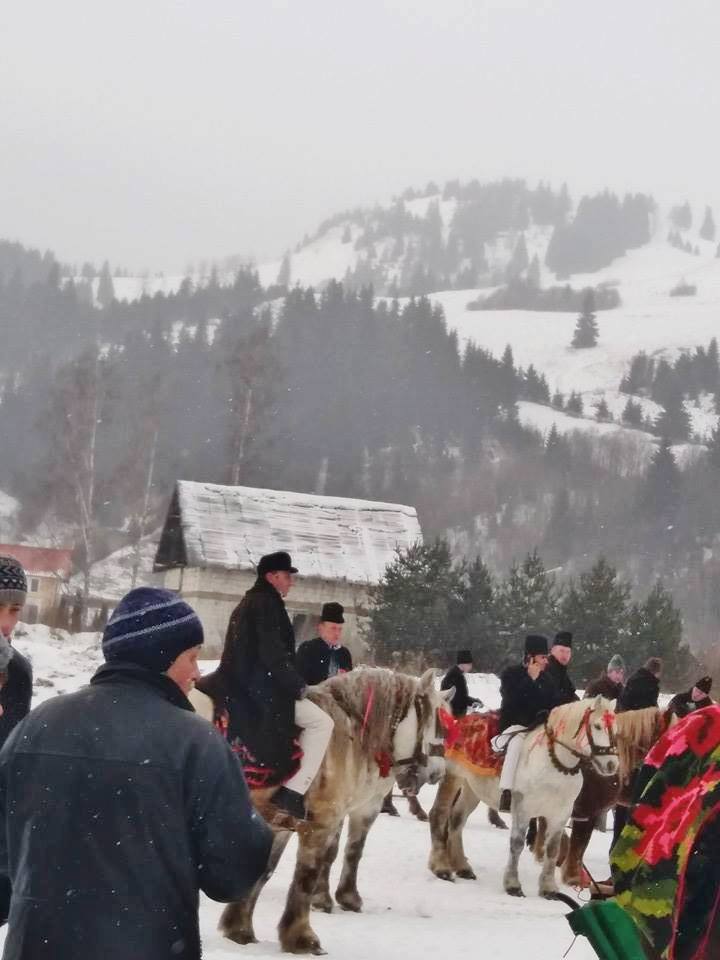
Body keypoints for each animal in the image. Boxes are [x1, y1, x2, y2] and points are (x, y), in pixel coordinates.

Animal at [217, 668, 450, 952]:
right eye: (438, 724)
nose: (438, 773)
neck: (349, 733)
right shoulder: (326, 821)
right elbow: (311, 873)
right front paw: (302, 937)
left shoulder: (279, 826)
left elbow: (264, 871)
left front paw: (239, 930)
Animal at [428, 692, 620, 896]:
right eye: (597, 726)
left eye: (616, 729)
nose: (611, 765)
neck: (554, 766)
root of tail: (460, 722)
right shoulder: (523, 810)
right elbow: (517, 844)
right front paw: (513, 884)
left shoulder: (559, 815)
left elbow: (552, 849)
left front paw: (548, 888)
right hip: (452, 777)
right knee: (439, 814)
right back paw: (441, 868)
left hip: (472, 789)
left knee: (457, 819)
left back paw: (462, 867)